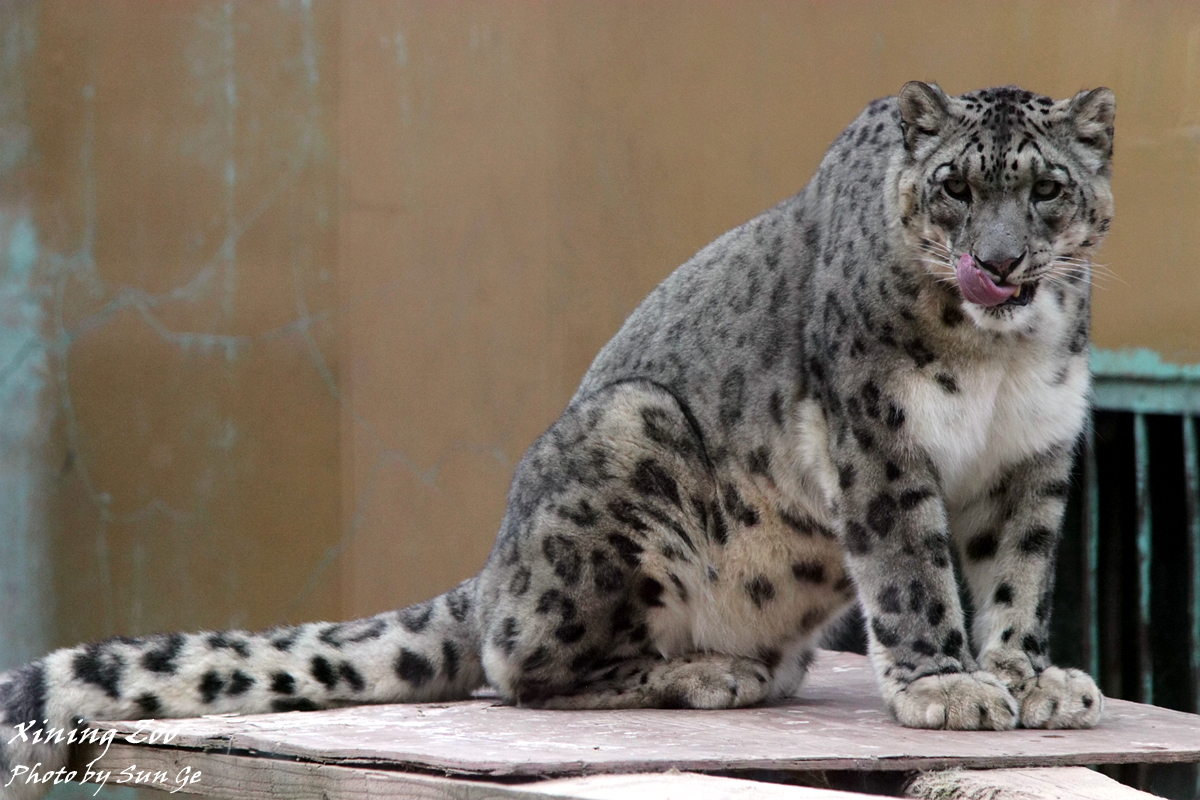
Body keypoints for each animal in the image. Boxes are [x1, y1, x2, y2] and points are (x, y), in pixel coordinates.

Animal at [1, 81, 1114, 799]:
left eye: (1045, 189)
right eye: (957, 187)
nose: (1000, 262)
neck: (1003, 359)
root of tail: (493, 563)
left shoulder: (1033, 452)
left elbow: (1015, 575)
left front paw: (1028, 676)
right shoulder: (880, 435)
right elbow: (914, 574)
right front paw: (948, 685)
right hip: (627, 452)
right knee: (520, 664)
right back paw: (704, 672)